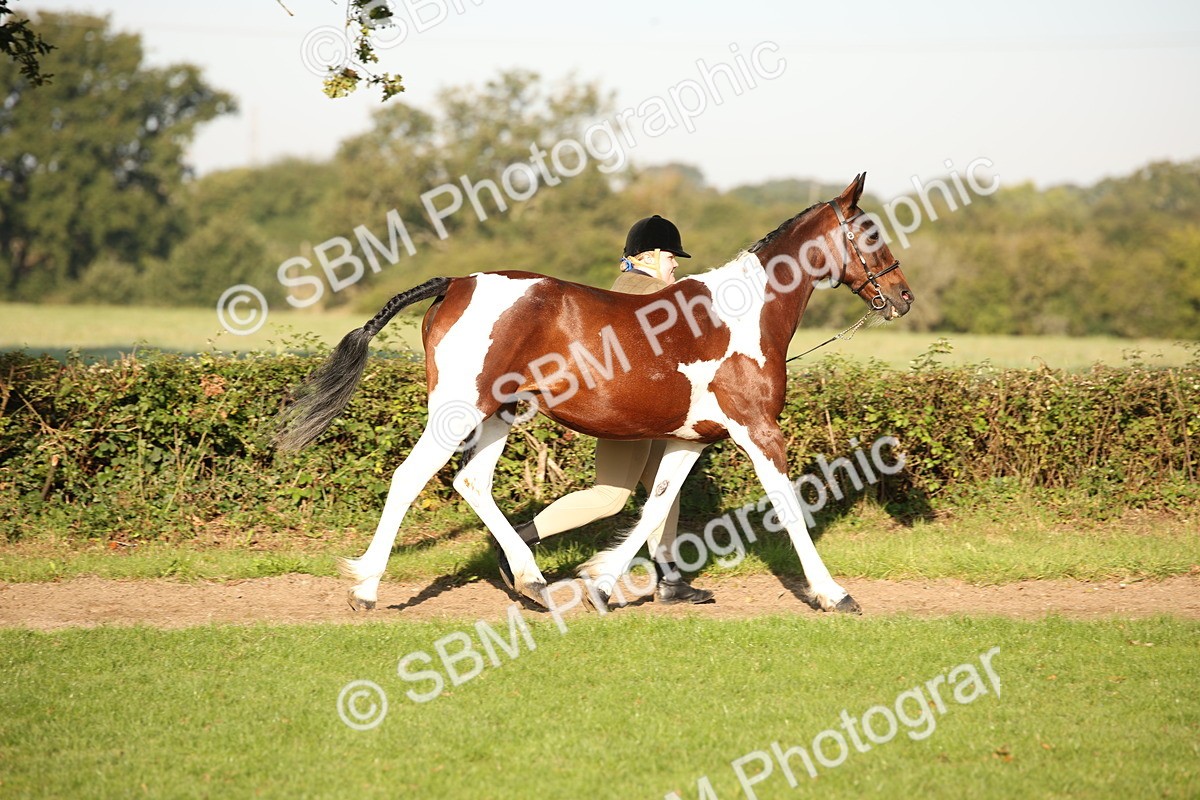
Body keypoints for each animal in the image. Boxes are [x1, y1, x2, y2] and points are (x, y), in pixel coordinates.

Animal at [276, 173, 913, 614]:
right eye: (871, 232)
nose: (904, 297)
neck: (749, 312)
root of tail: (455, 282)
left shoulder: (689, 439)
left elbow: (655, 506)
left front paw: (603, 585)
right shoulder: (758, 431)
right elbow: (787, 506)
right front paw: (834, 594)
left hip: (500, 413)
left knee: (471, 482)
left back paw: (532, 581)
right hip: (458, 412)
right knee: (410, 478)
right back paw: (367, 590)